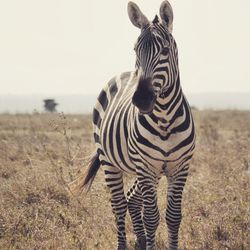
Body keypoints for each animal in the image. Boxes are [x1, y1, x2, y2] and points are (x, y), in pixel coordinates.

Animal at [72, 0, 195, 249]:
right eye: (135, 51)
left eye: (165, 51)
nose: (141, 99)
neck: (165, 117)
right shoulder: (146, 167)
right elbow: (152, 217)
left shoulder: (180, 167)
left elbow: (173, 216)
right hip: (110, 161)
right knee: (119, 205)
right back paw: (125, 243)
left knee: (131, 200)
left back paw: (139, 240)